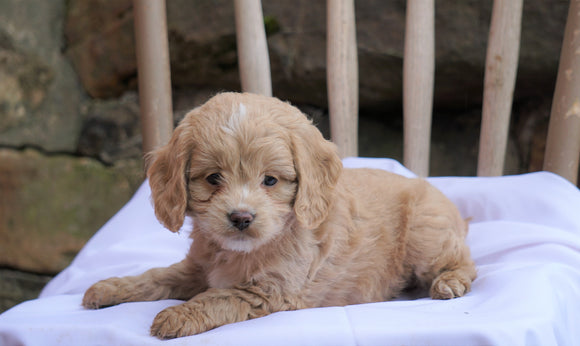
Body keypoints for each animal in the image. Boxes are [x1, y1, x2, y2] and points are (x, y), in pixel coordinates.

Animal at [84, 91, 478, 338]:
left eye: (270, 180)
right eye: (213, 178)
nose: (241, 218)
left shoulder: (272, 290)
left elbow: (219, 297)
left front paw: (177, 315)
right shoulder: (197, 268)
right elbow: (158, 276)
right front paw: (109, 287)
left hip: (426, 235)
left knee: (465, 263)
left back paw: (449, 282)